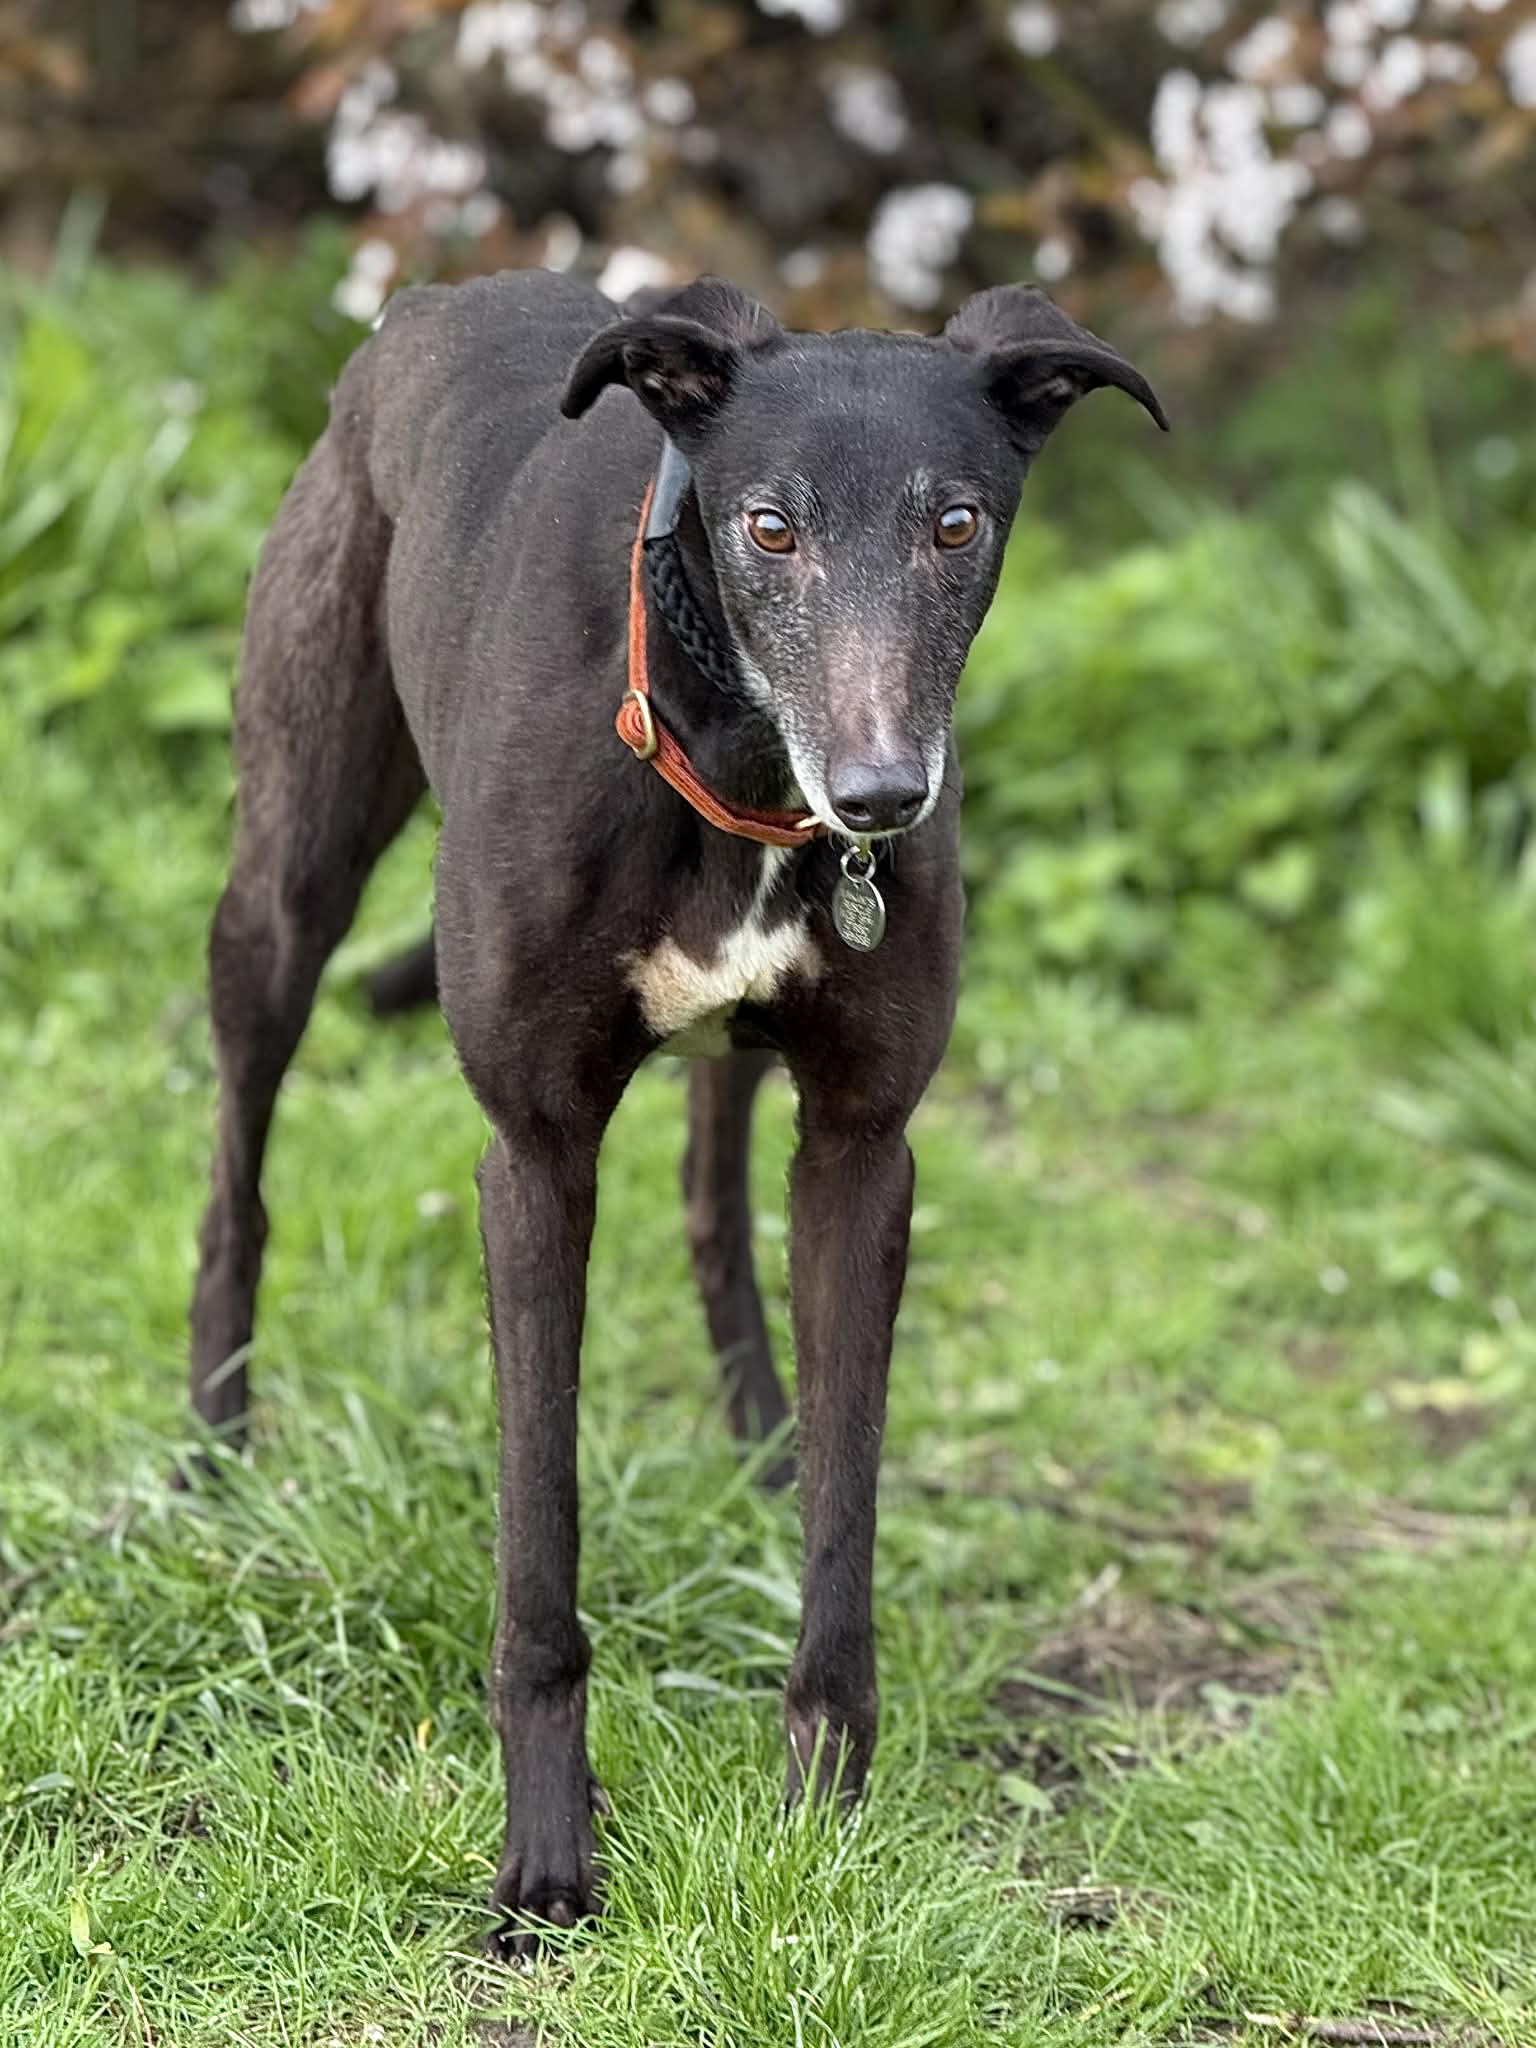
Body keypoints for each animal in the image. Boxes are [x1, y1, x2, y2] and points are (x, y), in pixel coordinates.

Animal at [187, 269, 1165, 1954]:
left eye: (957, 524)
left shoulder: (862, 1151)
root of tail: (428, 300)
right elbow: (538, 1558)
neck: (730, 748)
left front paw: (824, 1850)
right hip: (290, 872)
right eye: (769, 528)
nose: (882, 796)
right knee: (238, 1160)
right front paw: (544, 1866)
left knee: (717, 1199)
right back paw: (215, 1441)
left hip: (741, 1058)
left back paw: (760, 1434)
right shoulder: (533, 1155)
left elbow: (844, 1541)